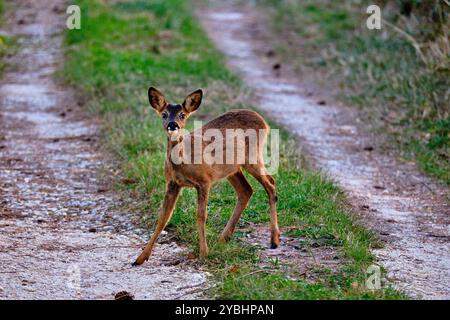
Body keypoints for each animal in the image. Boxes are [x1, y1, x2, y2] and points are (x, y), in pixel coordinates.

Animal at [132, 87, 280, 264]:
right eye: (164, 114)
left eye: (182, 114)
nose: (173, 125)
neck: (184, 161)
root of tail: (264, 121)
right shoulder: (172, 183)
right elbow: (163, 217)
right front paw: (140, 258)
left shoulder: (204, 181)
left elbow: (201, 215)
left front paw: (203, 253)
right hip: (232, 169)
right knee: (246, 190)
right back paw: (223, 239)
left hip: (252, 158)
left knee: (270, 183)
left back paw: (274, 240)